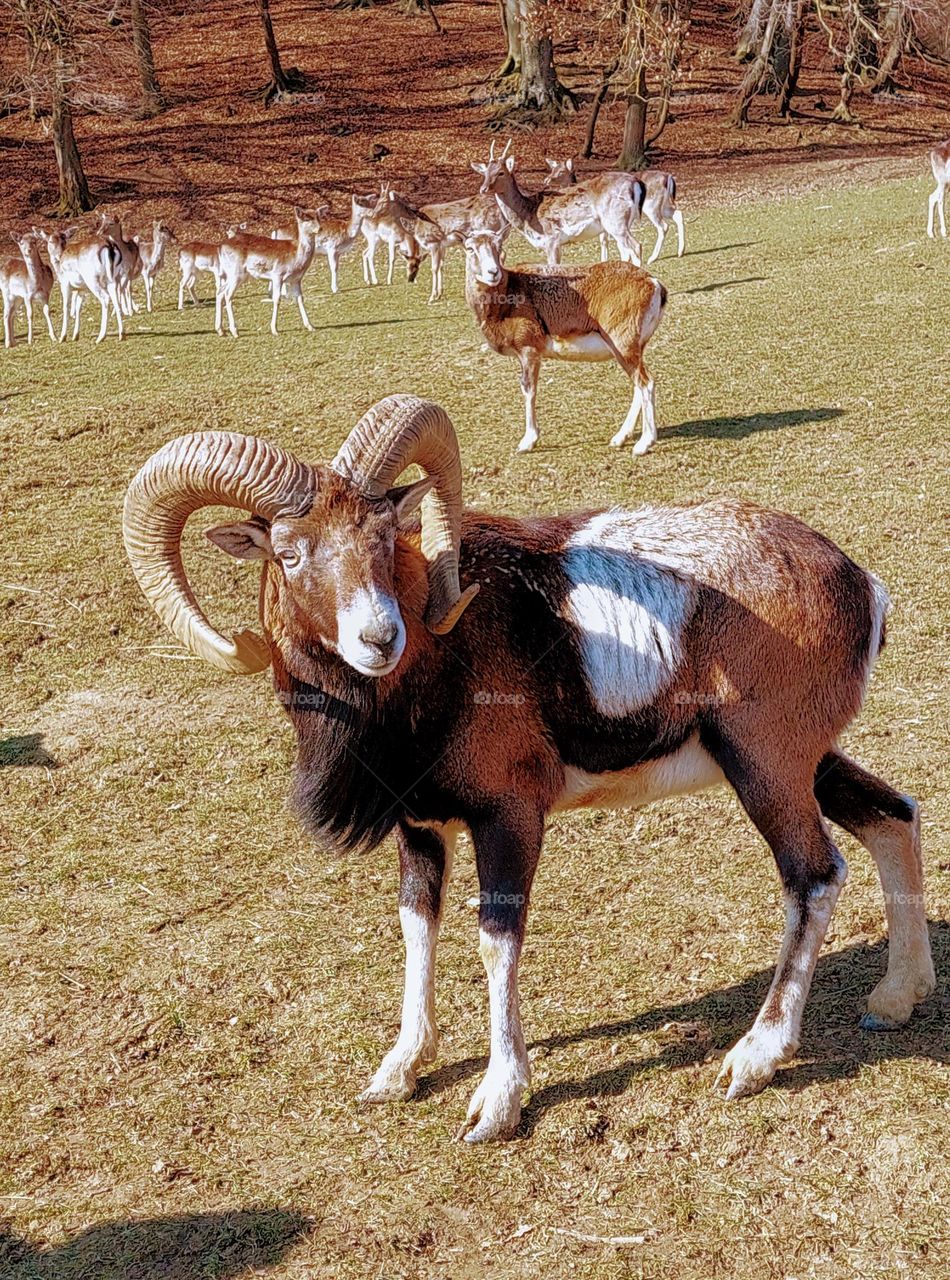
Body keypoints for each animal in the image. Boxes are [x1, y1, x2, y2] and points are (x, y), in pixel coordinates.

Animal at [215, 207, 321, 337]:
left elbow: (300, 298)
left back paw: (220, 330)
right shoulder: (277, 274)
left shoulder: (296, 279)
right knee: (228, 294)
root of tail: (220, 247)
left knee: (220, 292)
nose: (320, 228)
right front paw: (274, 330)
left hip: (232, 275)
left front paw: (310, 326)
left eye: (318, 217)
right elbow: (276, 299)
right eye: (306, 218)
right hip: (236, 273)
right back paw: (234, 331)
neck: (296, 258)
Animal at [463, 227, 665, 455]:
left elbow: (529, 389)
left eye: (498, 245)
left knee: (646, 384)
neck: (508, 296)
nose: (493, 273)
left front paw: (527, 442)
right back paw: (620, 438)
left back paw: (643, 444)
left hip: (625, 348)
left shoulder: (529, 352)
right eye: (470, 248)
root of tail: (653, 283)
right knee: (638, 386)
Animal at [473, 139, 644, 267]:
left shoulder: (552, 238)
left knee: (636, 246)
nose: (483, 188)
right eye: (485, 172)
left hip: (615, 220)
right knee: (626, 251)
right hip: (624, 222)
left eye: (501, 172)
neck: (528, 215)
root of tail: (635, 182)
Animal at [545, 157, 686, 263]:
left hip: (651, 206)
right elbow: (606, 240)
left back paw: (652, 258)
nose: (546, 179)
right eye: (552, 169)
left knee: (663, 226)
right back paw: (680, 252)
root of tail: (669, 177)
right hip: (664, 205)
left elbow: (607, 240)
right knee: (678, 214)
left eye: (561, 171)